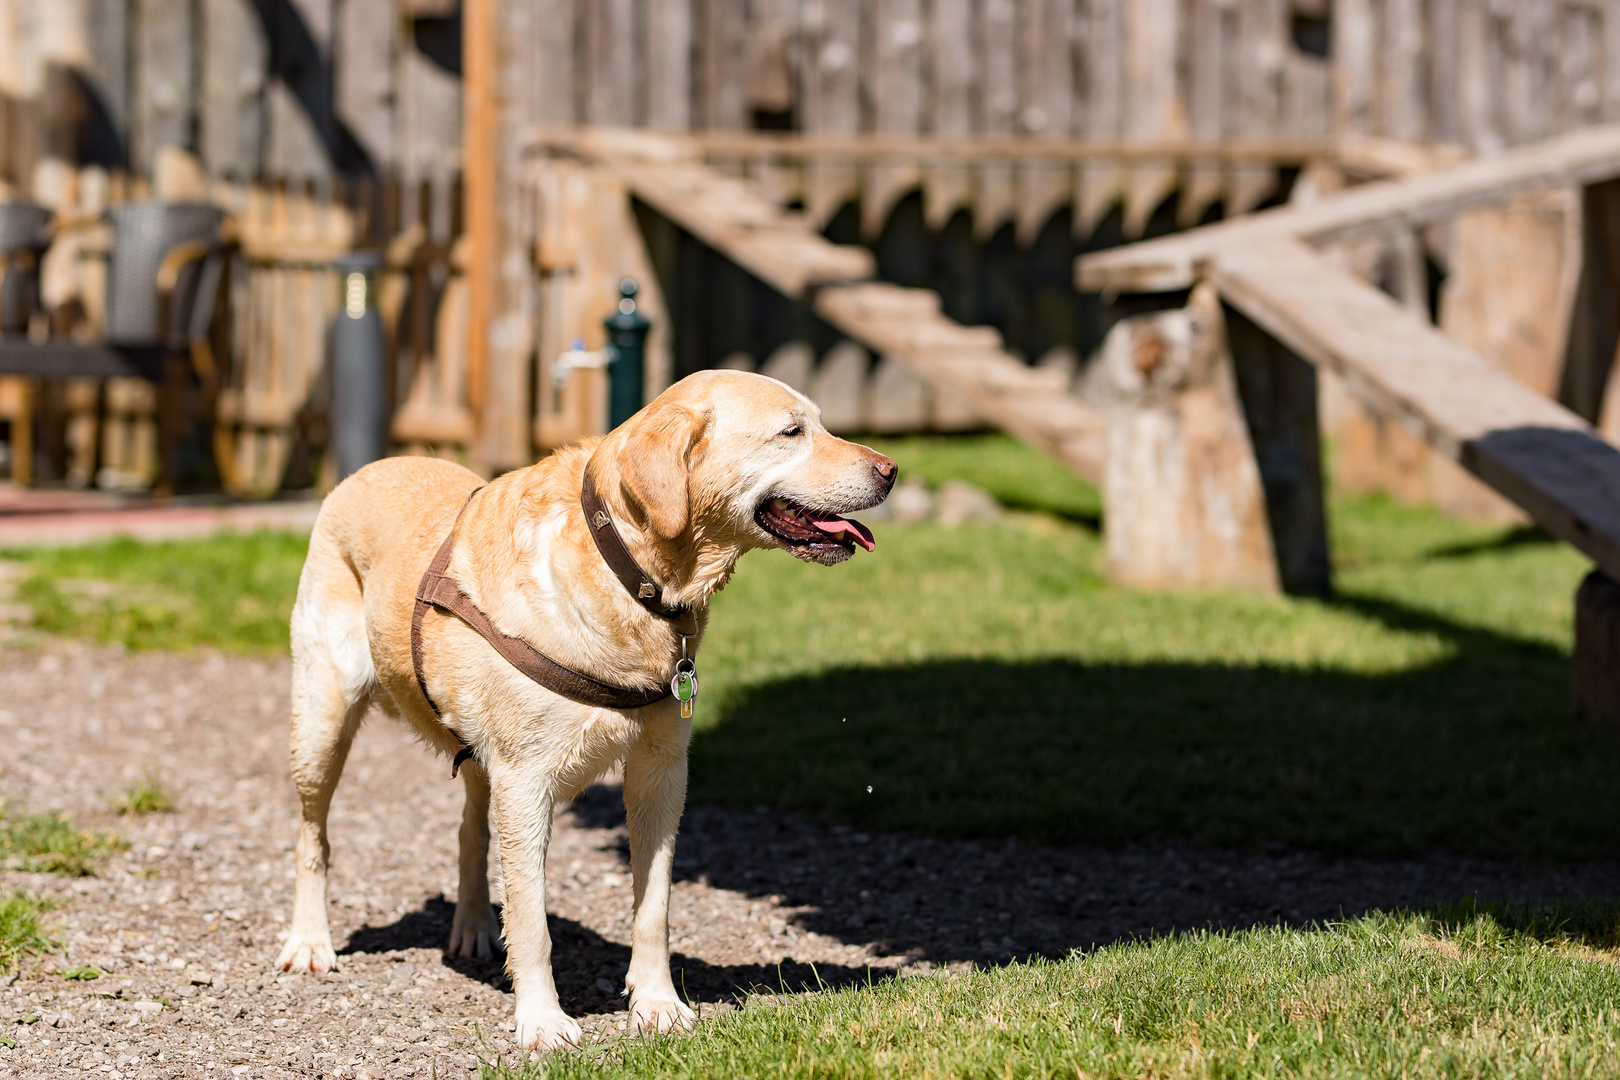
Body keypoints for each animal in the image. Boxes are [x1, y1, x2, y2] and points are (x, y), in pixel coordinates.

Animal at [270, 374, 894, 1055]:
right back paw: (310, 942)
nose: (890, 469)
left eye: (820, 423)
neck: (628, 571)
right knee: (312, 836)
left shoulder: (660, 775)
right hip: (321, 723)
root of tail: (370, 467)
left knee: (469, 832)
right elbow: (532, 922)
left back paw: (473, 926)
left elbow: (654, 909)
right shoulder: (525, 785)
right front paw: (542, 1021)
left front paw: (657, 1004)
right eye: (791, 431)